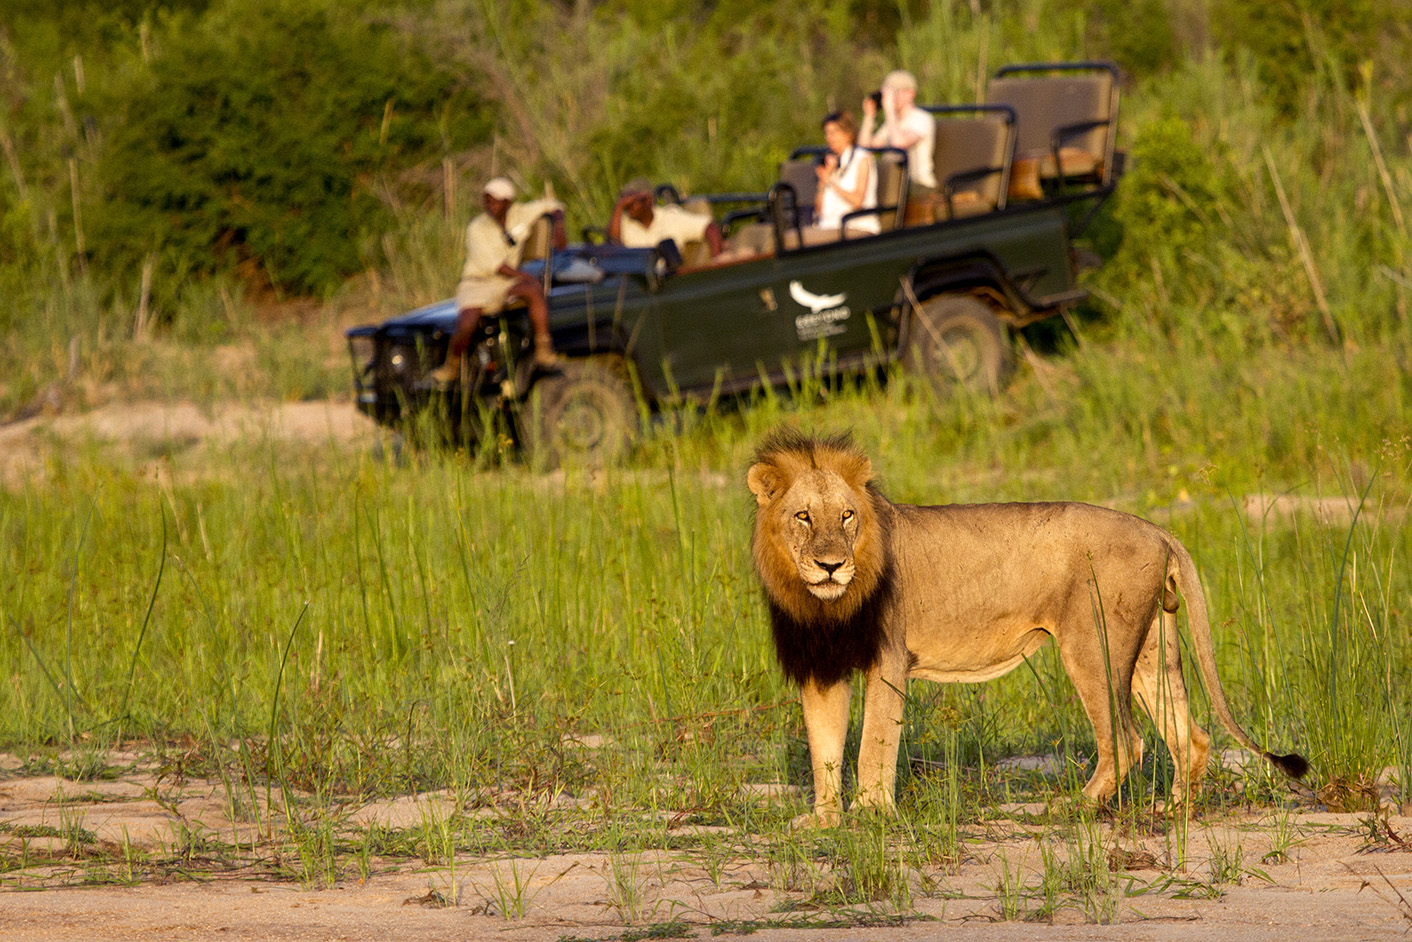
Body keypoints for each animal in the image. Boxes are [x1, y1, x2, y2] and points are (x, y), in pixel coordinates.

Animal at [745, 429, 1304, 824]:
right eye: (802, 517)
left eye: (846, 516)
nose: (832, 566)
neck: (824, 606)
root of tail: (1158, 529)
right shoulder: (820, 667)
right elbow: (823, 747)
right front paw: (823, 820)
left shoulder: (888, 660)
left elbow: (873, 744)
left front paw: (870, 813)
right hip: (1151, 649)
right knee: (1192, 736)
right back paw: (1173, 810)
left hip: (1092, 648)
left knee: (1126, 740)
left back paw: (1077, 807)